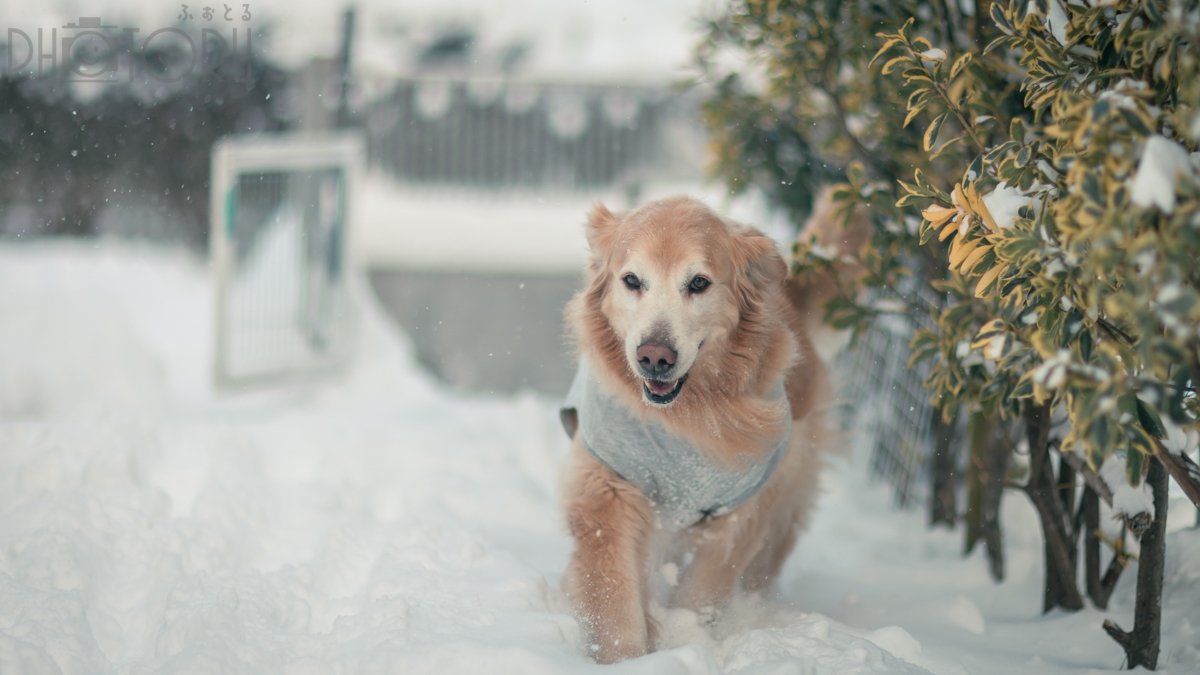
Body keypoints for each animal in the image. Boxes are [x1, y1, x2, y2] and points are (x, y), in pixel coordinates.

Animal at [561, 193, 864, 658]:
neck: (686, 416)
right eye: (631, 280)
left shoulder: (741, 509)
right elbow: (612, 594)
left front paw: (685, 641)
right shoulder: (607, 484)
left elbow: (703, 590)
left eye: (699, 283)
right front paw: (626, 657)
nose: (655, 356)